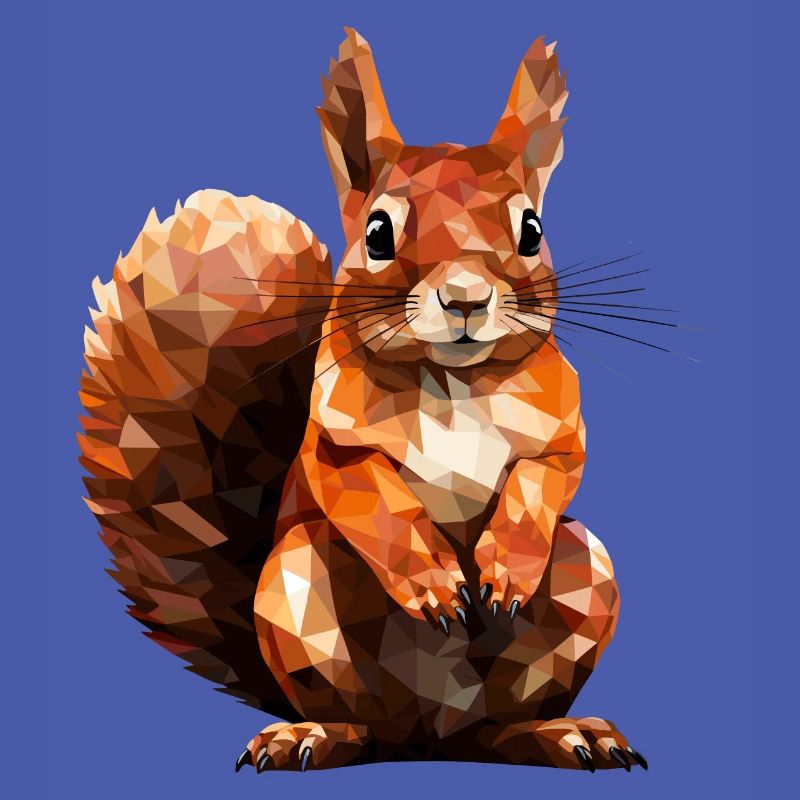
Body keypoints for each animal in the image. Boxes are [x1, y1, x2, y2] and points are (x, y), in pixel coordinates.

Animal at [79, 28, 648, 774]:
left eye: (532, 230)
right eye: (377, 233)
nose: (465, 297)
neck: (452, 383)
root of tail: (433, 737)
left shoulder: (561, 428)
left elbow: (545, 478)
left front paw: (504, 567)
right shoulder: (332, 441)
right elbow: (371, 495)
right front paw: (433, 581)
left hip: (587, 575)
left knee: (499, 727)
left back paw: (561, 732)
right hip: (296, 592)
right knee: (361, 724)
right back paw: (311, 734)